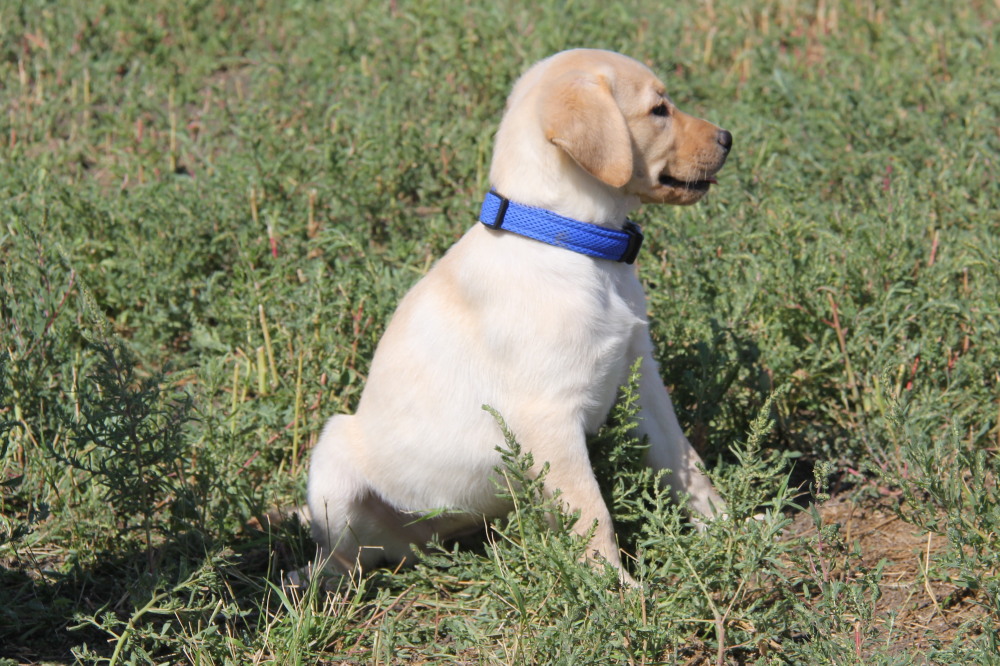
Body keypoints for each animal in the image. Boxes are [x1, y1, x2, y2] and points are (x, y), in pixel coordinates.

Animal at [308, 48, 732, 580]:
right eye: (659, 110)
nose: (728, 138)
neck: (567, 239)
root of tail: (414, 541)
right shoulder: (548, 415)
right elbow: (592, 511)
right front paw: (613, 590)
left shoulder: (642, 379)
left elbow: (685, 462)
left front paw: (733, 529)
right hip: (332, 457)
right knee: (338, 559)